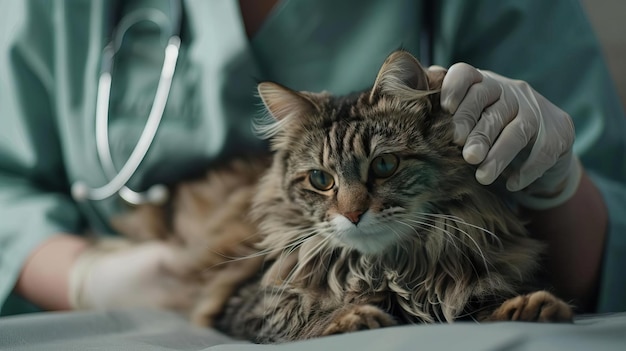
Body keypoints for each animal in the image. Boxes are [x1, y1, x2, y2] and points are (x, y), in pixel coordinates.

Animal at [111, 49, 572, 344]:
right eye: (320, 179)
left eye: (384, 166)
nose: (353, 214)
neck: (388, 270)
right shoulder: (245, 302)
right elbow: (301, 317)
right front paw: (354, 316)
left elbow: (481, 305)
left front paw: (529, 307)